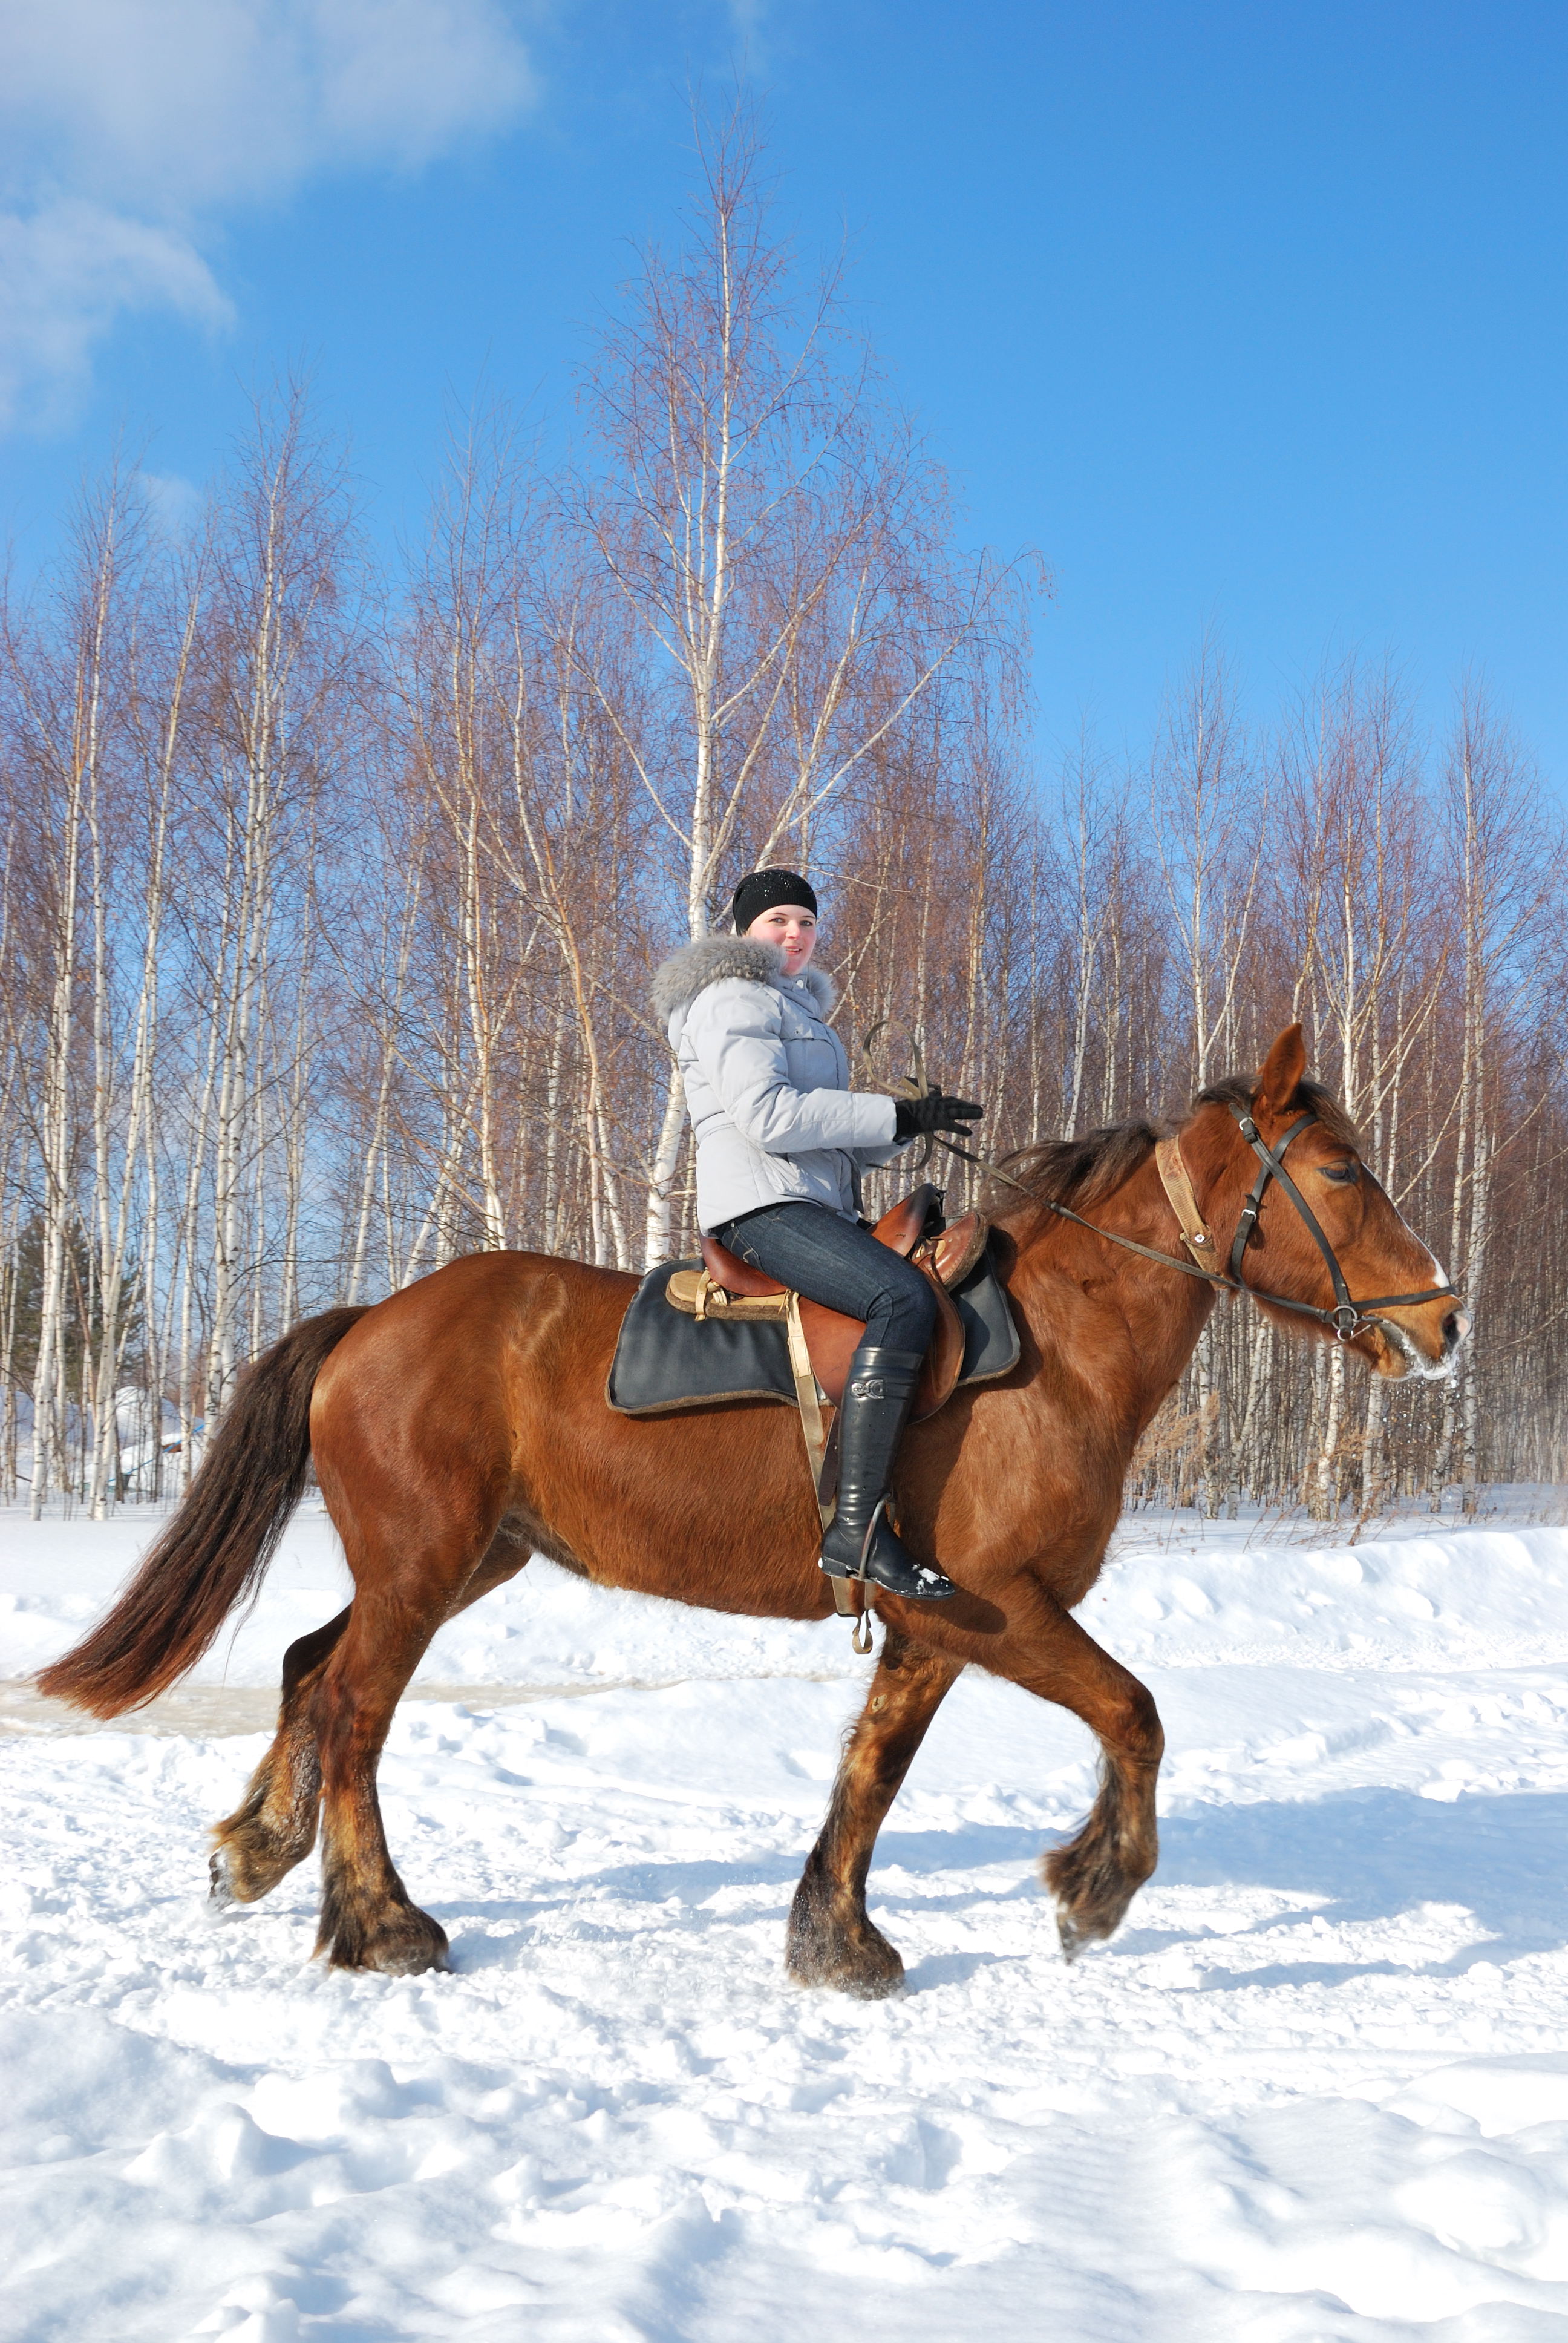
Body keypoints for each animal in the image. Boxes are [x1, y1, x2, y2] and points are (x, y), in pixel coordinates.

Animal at [39, 1024, 1466, 1994]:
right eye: (1342, 1172)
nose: (1444, 1318)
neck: (1057, 1347)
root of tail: (370, 1320)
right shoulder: (1002, 1609)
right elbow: (1135, 1713)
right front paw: (1092, 1890)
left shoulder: (930, 1624)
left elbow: (872, 1772)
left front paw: (836, 1939)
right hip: (422, 1562)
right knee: (351, 1708)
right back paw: (379, 1922)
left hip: (465, 1559)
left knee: (305, 1667)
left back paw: (257, 1848)